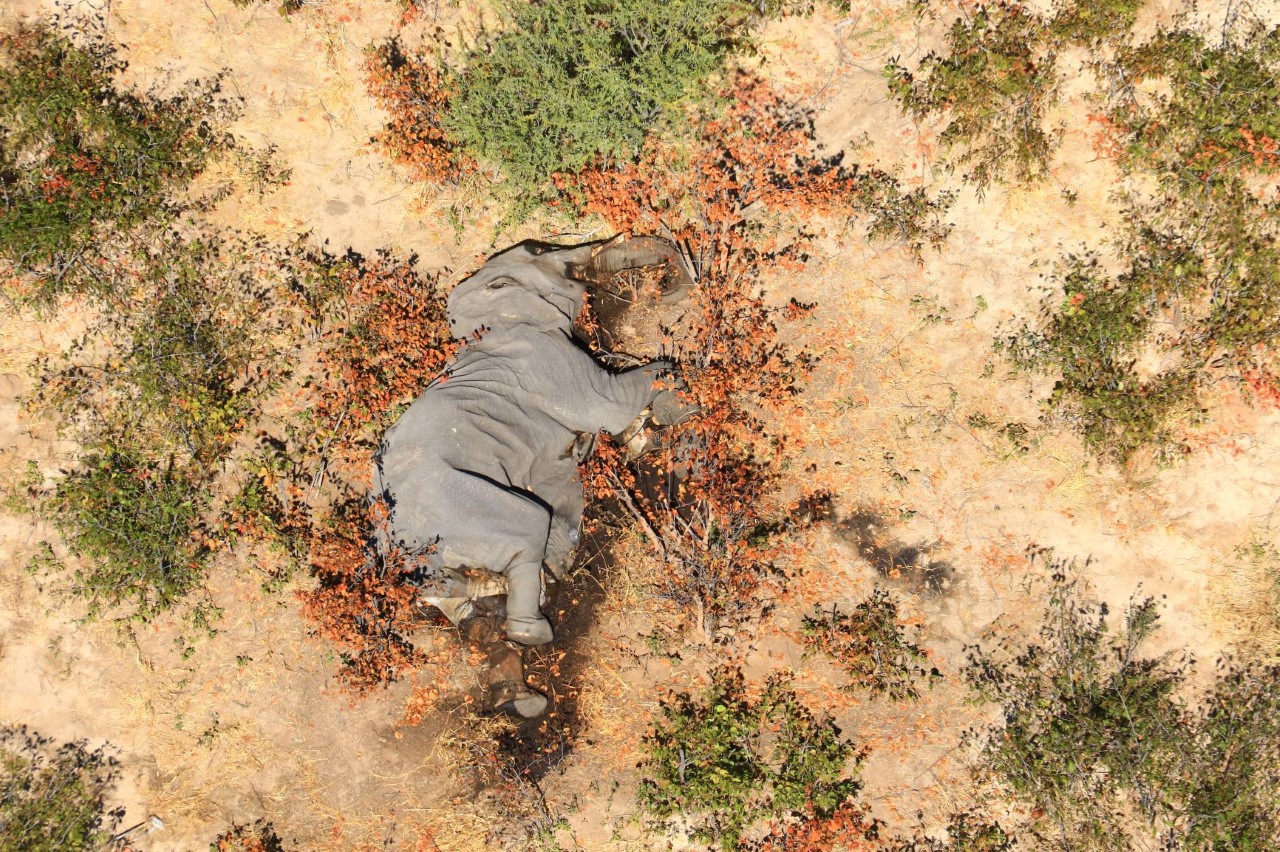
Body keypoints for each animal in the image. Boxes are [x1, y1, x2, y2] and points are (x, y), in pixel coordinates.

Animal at [372, 235, 693, 717]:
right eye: (542, 252)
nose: (665, 286)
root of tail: (394, 544)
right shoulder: (548, 361)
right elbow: (615, 401)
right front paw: (682, 402)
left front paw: (645, 436)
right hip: (464, 505)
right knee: (526, 529)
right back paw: (533, 632)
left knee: (474, 610)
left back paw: (519, 696)